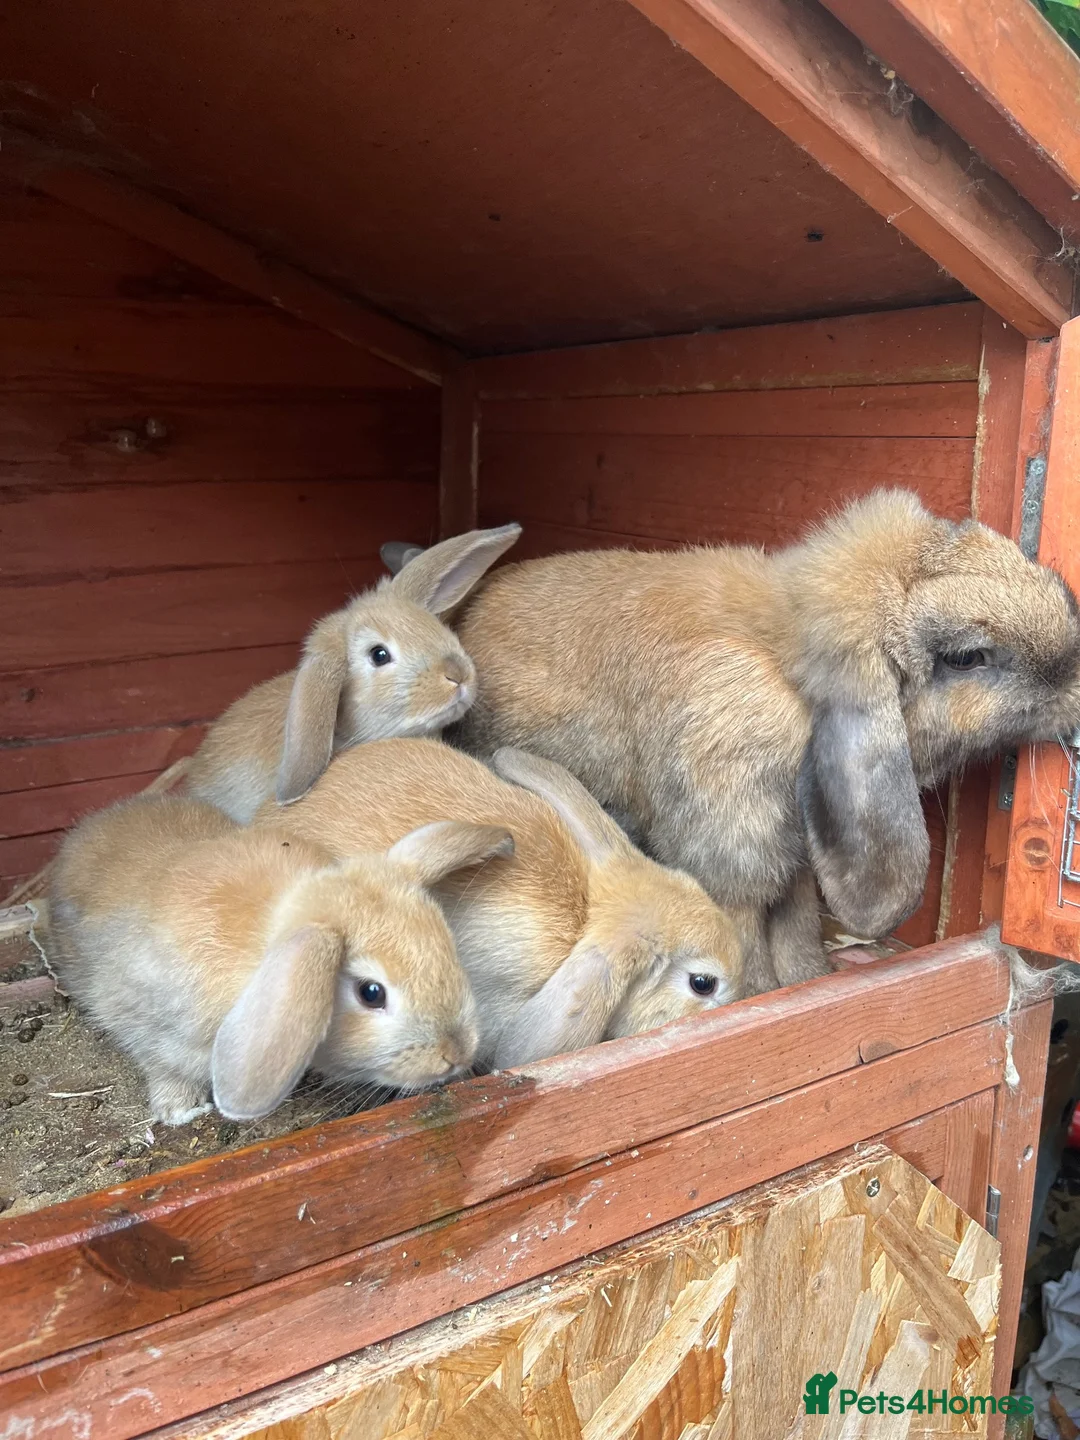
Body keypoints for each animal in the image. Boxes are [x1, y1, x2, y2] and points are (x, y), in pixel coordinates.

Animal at [46, 791, 513, 1123]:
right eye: (371, 993)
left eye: (447, 945)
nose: (457, 1053)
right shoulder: (149, 1022)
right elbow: (163, 1068)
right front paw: (182, 1111)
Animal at [382, 489, 1080, 994]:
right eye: (967, 656)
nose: (1076, 682)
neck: (789, 667)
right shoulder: (734, 859)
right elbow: (745, 941)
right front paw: (756, 997)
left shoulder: (796, 866)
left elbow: (795, 933)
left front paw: (807, 983)